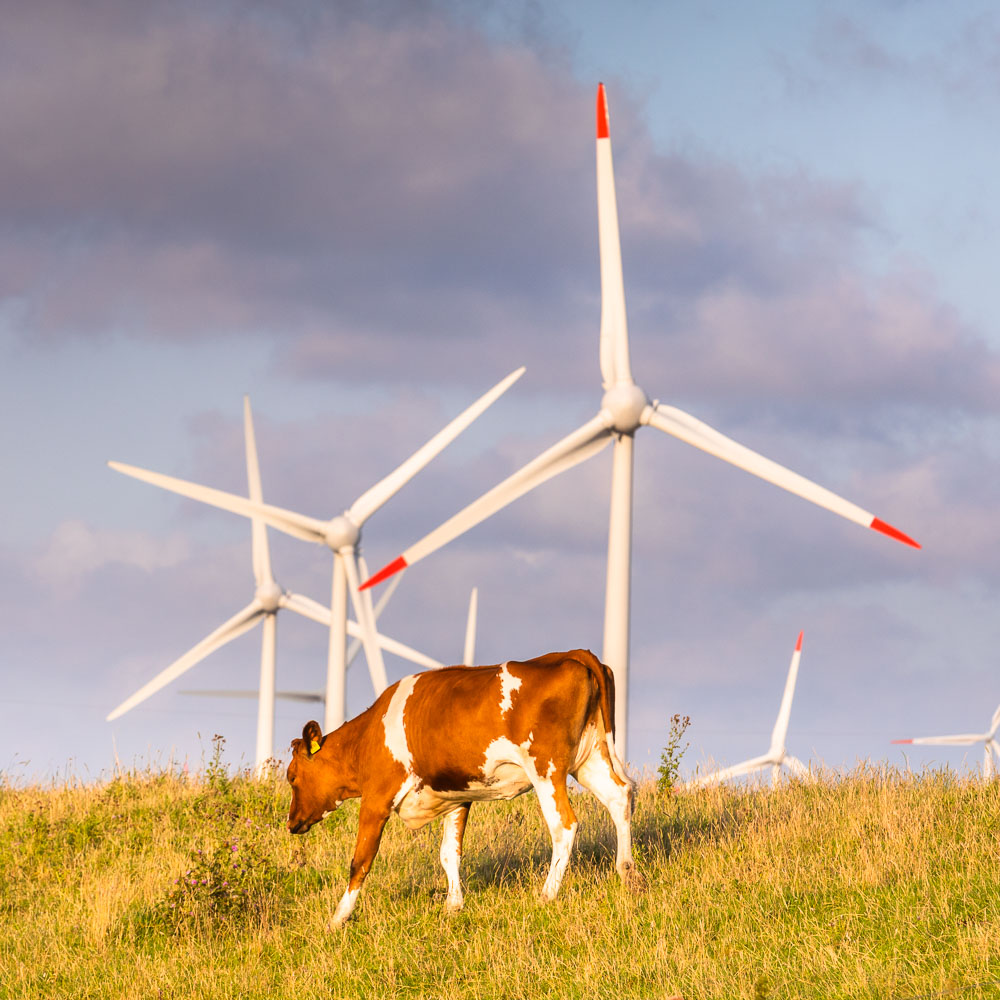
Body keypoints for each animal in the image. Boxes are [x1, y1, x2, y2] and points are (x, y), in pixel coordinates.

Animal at [288, 652, 632, 924]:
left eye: (291, 777)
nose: (291, 823)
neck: (367, 737)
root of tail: (572, 654)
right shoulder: (456, 798)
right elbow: (449, 854)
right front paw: (453, 906)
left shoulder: (376, 799)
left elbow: (360, 861)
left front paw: (337, 918)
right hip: (589, 760)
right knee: (620, 797)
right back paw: (627, 871)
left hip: (547, 770)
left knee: (565, 825)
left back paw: (547, 894)